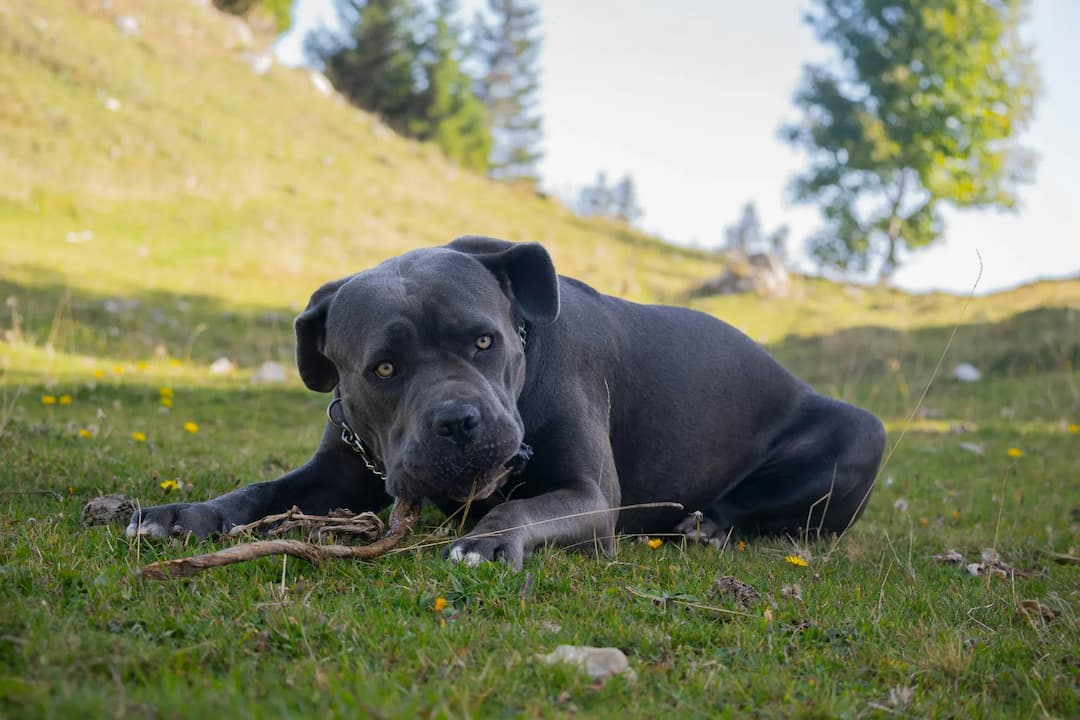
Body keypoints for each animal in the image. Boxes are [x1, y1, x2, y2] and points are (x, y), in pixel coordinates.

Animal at [128, 237, 885, 569]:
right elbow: (258, 491)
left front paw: (488, 539)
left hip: (864, 429)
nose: (458, 422)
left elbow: (526, 506)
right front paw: (182, 514)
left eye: (484, 340)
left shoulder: (589, 495)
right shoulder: (337, 473)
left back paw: (706, 525)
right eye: (384, 368)